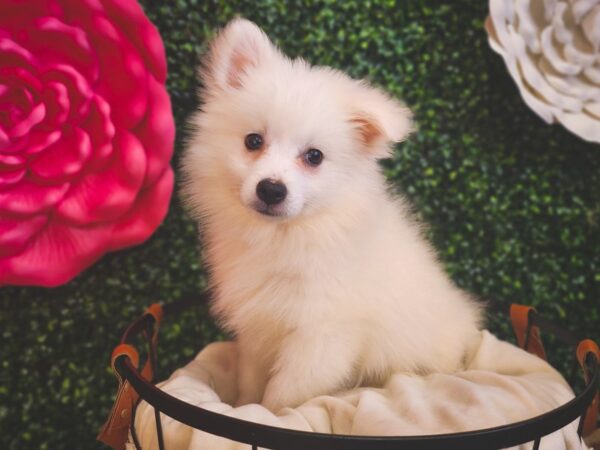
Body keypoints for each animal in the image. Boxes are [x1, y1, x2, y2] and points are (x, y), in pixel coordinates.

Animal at [183, 18, 482, 412]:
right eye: (253, 141)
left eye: (314, 157)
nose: (271, 189)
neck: (287, 235)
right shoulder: (258, 326)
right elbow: (251, 381)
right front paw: (244, 406)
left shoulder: (322, 336)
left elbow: (284, 395)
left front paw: (269, 415)